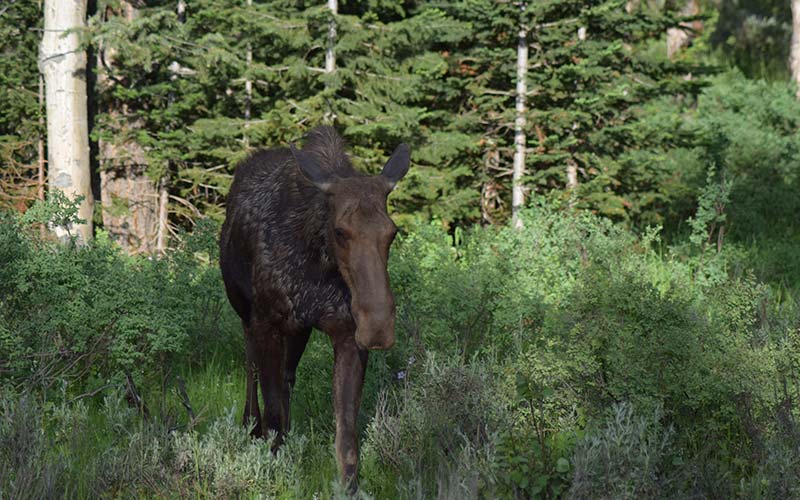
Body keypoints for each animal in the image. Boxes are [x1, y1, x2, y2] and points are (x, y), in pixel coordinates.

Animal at [219, 126, 410, 488]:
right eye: (340, 231)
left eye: (392, 232)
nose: (377, 327)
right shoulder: (267, 323)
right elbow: (272, 410)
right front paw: (274, 467)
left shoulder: (346, 333)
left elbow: (347, 432)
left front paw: (350, 486)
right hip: (245, 313)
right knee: (252, 370)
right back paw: (250, 427)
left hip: (298, 330)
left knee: (287, 376)